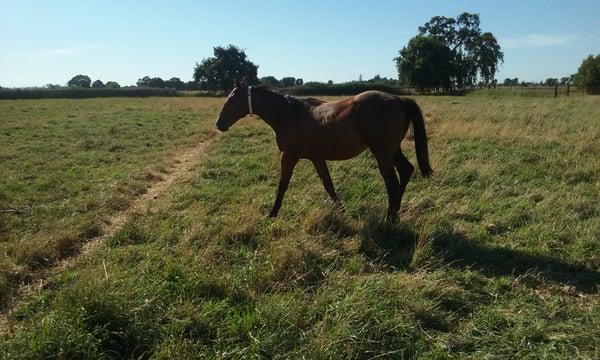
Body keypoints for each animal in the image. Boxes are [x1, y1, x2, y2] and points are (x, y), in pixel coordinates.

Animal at [216, 82, 432, 221]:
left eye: (231, 100)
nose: (219, 124)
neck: (289, 114)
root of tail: (399, 99)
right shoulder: (317, 158)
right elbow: (328, 185)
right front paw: (343, 212)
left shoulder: (289, 157)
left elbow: (282, 186)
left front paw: (272, 214)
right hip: (392, 150)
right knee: (406, 170)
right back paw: (395, 212)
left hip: (382, 153)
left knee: (392, 182)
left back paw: (390, 217)